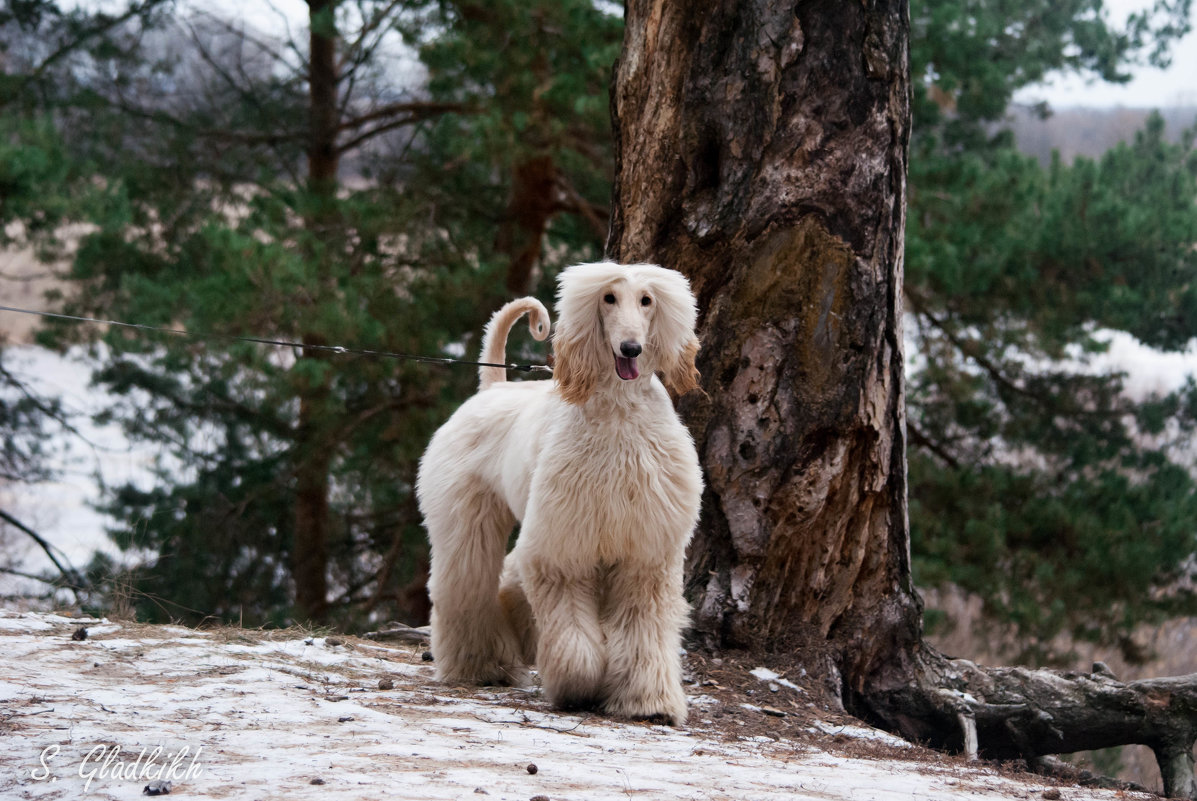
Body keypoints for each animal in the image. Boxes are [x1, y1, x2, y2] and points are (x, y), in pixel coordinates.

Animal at [418, 262, 703, 723]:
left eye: (647, 300)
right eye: (608, 298)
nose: (631, 349)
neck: (619, 413)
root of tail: (493, 387)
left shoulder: (645, 549)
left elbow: (643, 623)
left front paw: (647, 701)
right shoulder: (565, 543)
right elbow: (570, 621)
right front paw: (578, 684)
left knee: (508, 574)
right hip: (466, 514)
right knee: (466, 581)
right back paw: (480, 665)